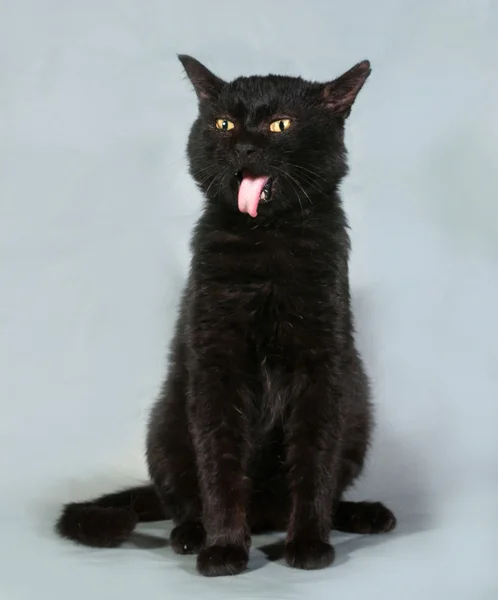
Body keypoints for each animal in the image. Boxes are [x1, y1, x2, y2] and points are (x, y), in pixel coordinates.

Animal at [55, 55, 396, 576]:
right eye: (223, 124)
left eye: (280, 125)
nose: (244, 144)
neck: (267, 242)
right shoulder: (217, 365)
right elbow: (221, 464)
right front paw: (224, 549)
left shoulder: (323, 368)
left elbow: (315, 462)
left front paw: (308, 544)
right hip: (166, 420)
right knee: (180, 497)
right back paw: (192, 533)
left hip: (359, 410)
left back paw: (362, 514)